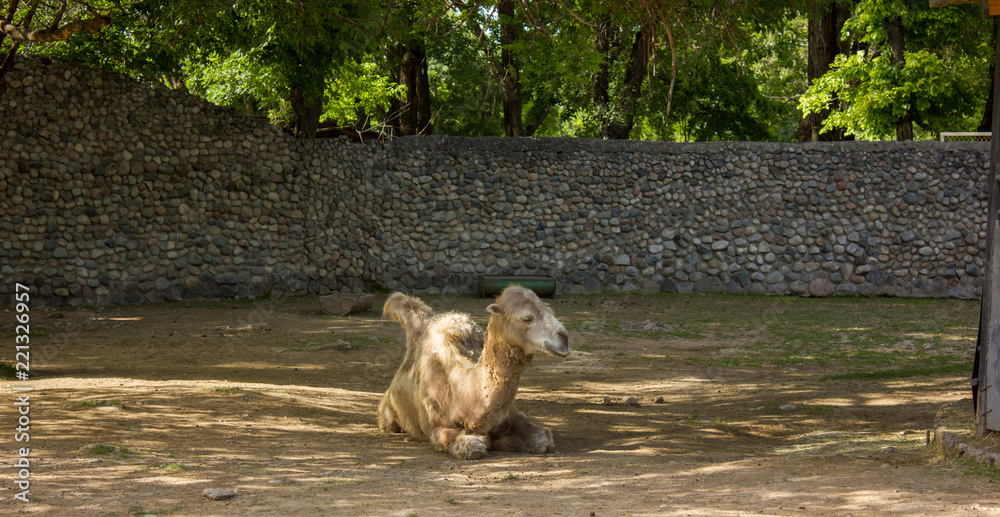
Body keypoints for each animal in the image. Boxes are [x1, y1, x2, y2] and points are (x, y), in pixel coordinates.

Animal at [377, 285, 570, 460]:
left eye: (549, 310)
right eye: (526, 318)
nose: (564, 338)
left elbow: (541, 439)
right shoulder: (433, 424)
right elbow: (471, 446)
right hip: (388, 414)